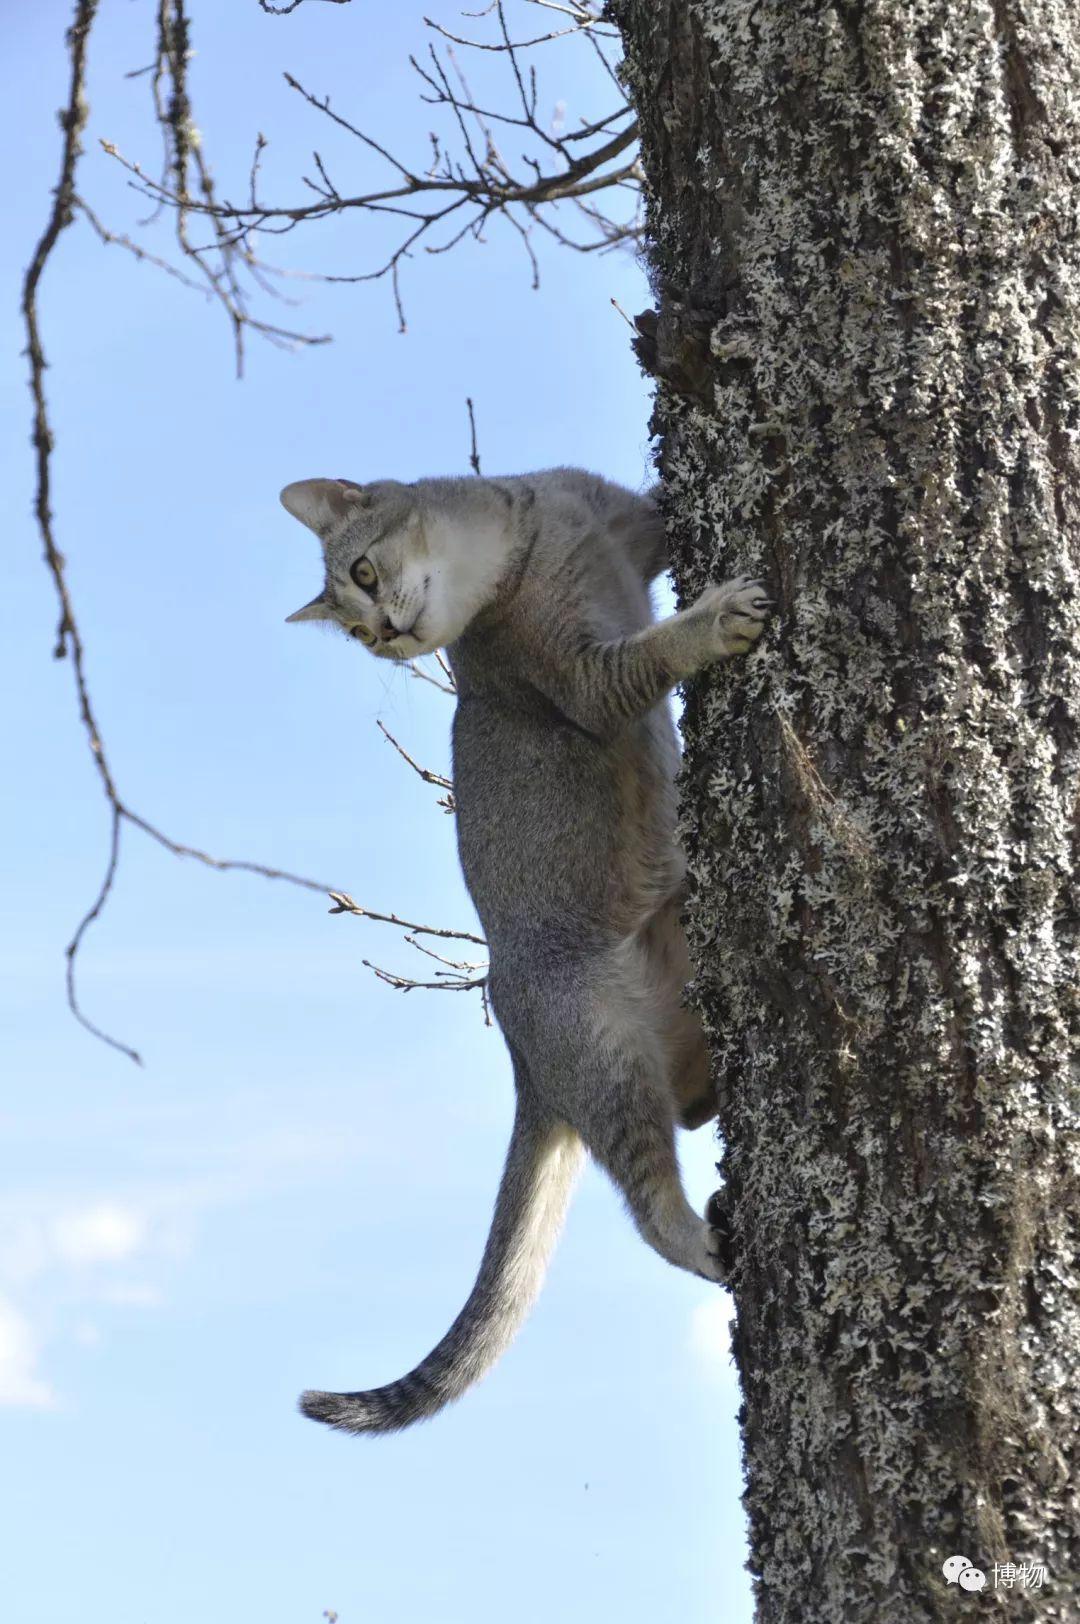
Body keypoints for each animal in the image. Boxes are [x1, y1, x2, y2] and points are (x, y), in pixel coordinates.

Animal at [277, 470, 766, 1435]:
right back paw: (702, 1241)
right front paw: (718, 618)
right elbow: (649, 655)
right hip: (599, 1042)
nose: (387, 634)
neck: (523, 543)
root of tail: (523, 1057)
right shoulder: (577, 674)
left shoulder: (620, 523)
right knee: (648, 1202)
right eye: (352, 632)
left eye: (362, 573)